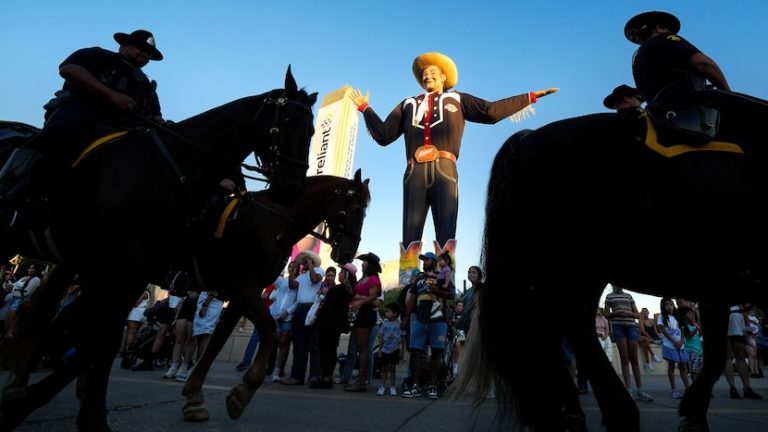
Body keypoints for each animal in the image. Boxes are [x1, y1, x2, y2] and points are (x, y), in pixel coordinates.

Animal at [0, 66, 318, 430]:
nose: (291, 188)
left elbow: (102, 338)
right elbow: (99, 337)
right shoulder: (125, 263)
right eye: (290, 120)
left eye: (312, 130)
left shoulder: (136, 269)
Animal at [182, 170, 370, 420]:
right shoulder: (243, 290)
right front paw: (213, 394)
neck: (274, 221)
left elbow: (226, 338)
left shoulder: (244, 292)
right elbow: (232, 337)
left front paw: (236, 392)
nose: (349, 254)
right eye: (357, 209)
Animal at [456, 109, 768, 432]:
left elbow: (716, 353)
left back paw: (567, 409)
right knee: (565, 321)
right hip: (585, 259)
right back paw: (603, 411)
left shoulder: (715, 288)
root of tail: (527, 139)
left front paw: (694, 413)